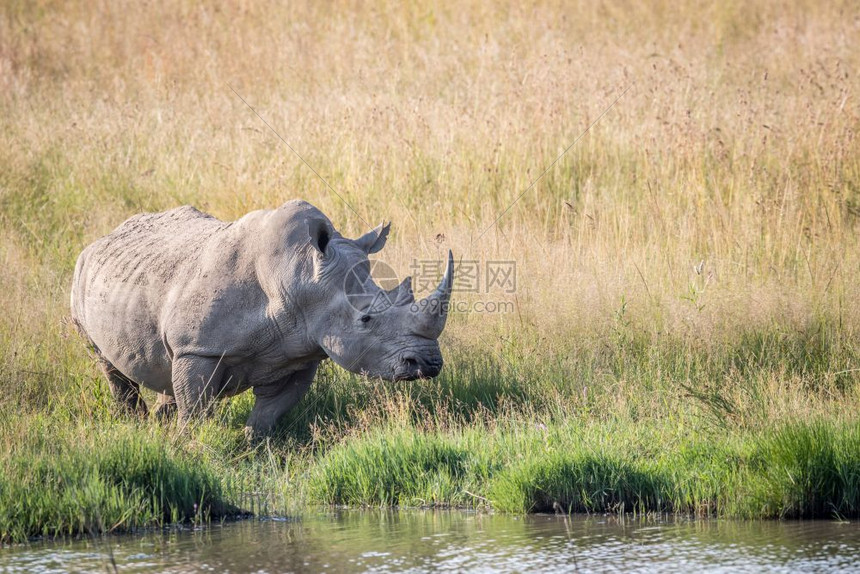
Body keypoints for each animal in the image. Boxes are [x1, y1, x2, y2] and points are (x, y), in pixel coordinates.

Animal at [72, 200, 456, 438]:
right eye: (366, 319)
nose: (429, 363)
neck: (299, 278)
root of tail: (105, 236)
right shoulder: (198, 348)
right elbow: (196, 409)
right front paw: (188, 445)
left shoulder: (301, 354)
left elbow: (267, 416)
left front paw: (252, 448)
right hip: (82, 274)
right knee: (107, 361)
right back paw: (132, 423)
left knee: (166, 368)